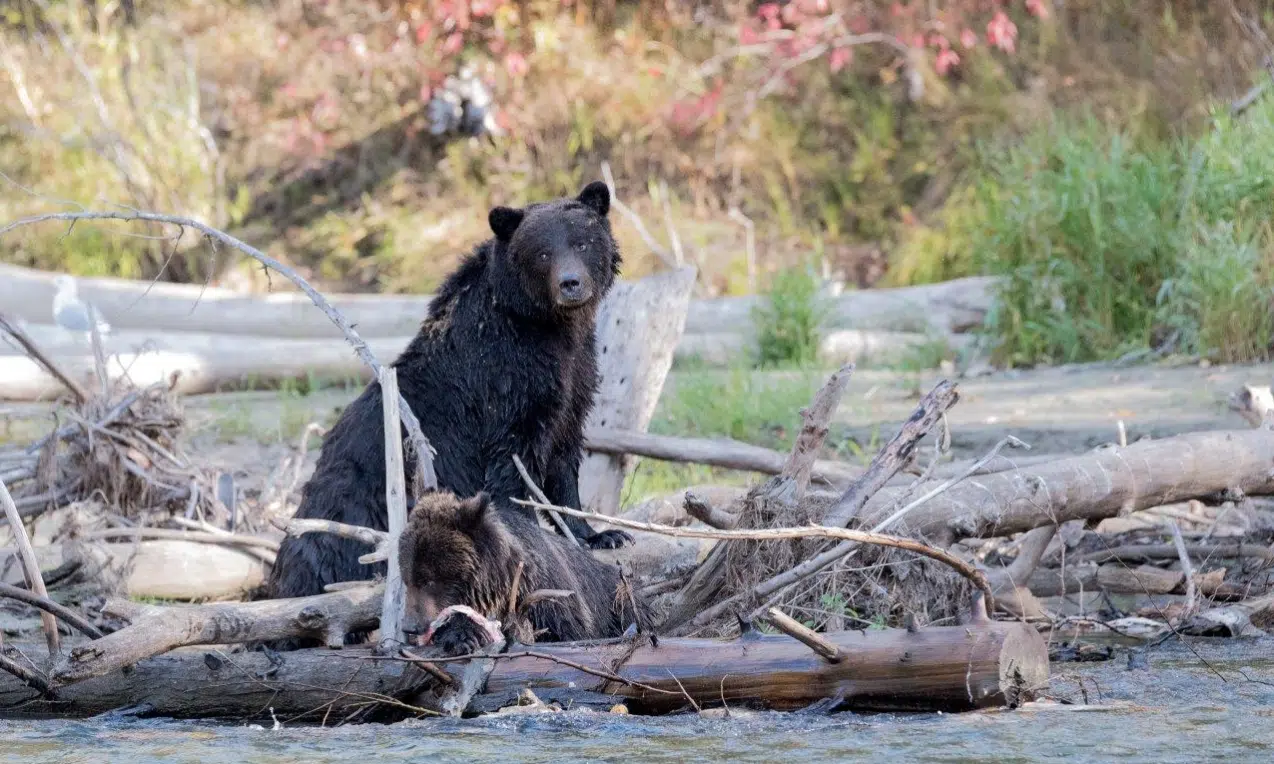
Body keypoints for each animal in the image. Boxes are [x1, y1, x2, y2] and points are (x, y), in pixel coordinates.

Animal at [265, 181, 633, 611]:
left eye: (582, 242)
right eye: (542, 252)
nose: (570, 283)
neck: (550, 327)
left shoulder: (574, 379)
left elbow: (563, 457)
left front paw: (600, 533)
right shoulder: (506, 381)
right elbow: (511, 463)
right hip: (354, 506)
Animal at [399, 491, 652, 655]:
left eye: (428, 580)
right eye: (407, 579)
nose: (409, 626)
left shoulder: (551, 599)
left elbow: (564, 633)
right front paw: (464, 636)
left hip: (617, 600)